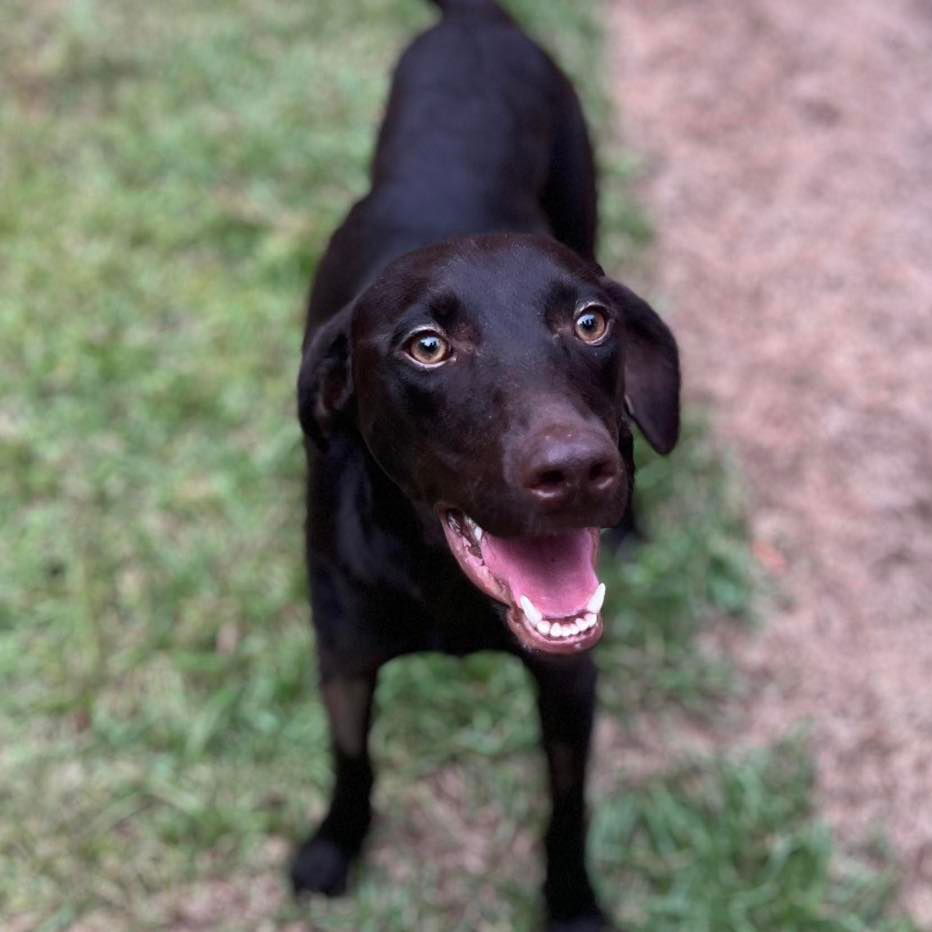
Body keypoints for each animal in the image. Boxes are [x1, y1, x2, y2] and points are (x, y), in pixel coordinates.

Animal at [292, 3, 676, 928]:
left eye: (590, 323)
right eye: (426, 347)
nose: (578, 471)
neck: (443, 584)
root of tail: (476, 19)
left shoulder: (569, 678)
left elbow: (567, 803)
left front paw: (571, 901)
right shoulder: (344, 656)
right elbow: (352, 759)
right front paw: (334, 847)